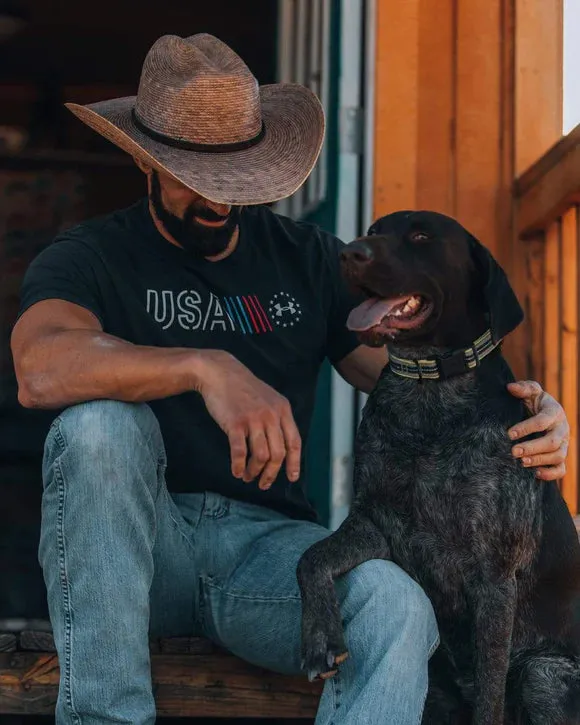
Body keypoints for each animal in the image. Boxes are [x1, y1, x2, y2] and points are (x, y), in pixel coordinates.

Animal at [296, 211, 580, 724]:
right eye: (373, 229)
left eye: (421, 235)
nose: (349, 253)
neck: (427, 389)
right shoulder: (377, 526)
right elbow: (312, 557)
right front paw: (319, 637)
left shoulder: (494, 576)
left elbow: (489, 694)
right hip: (437, 692)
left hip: (544, 674)